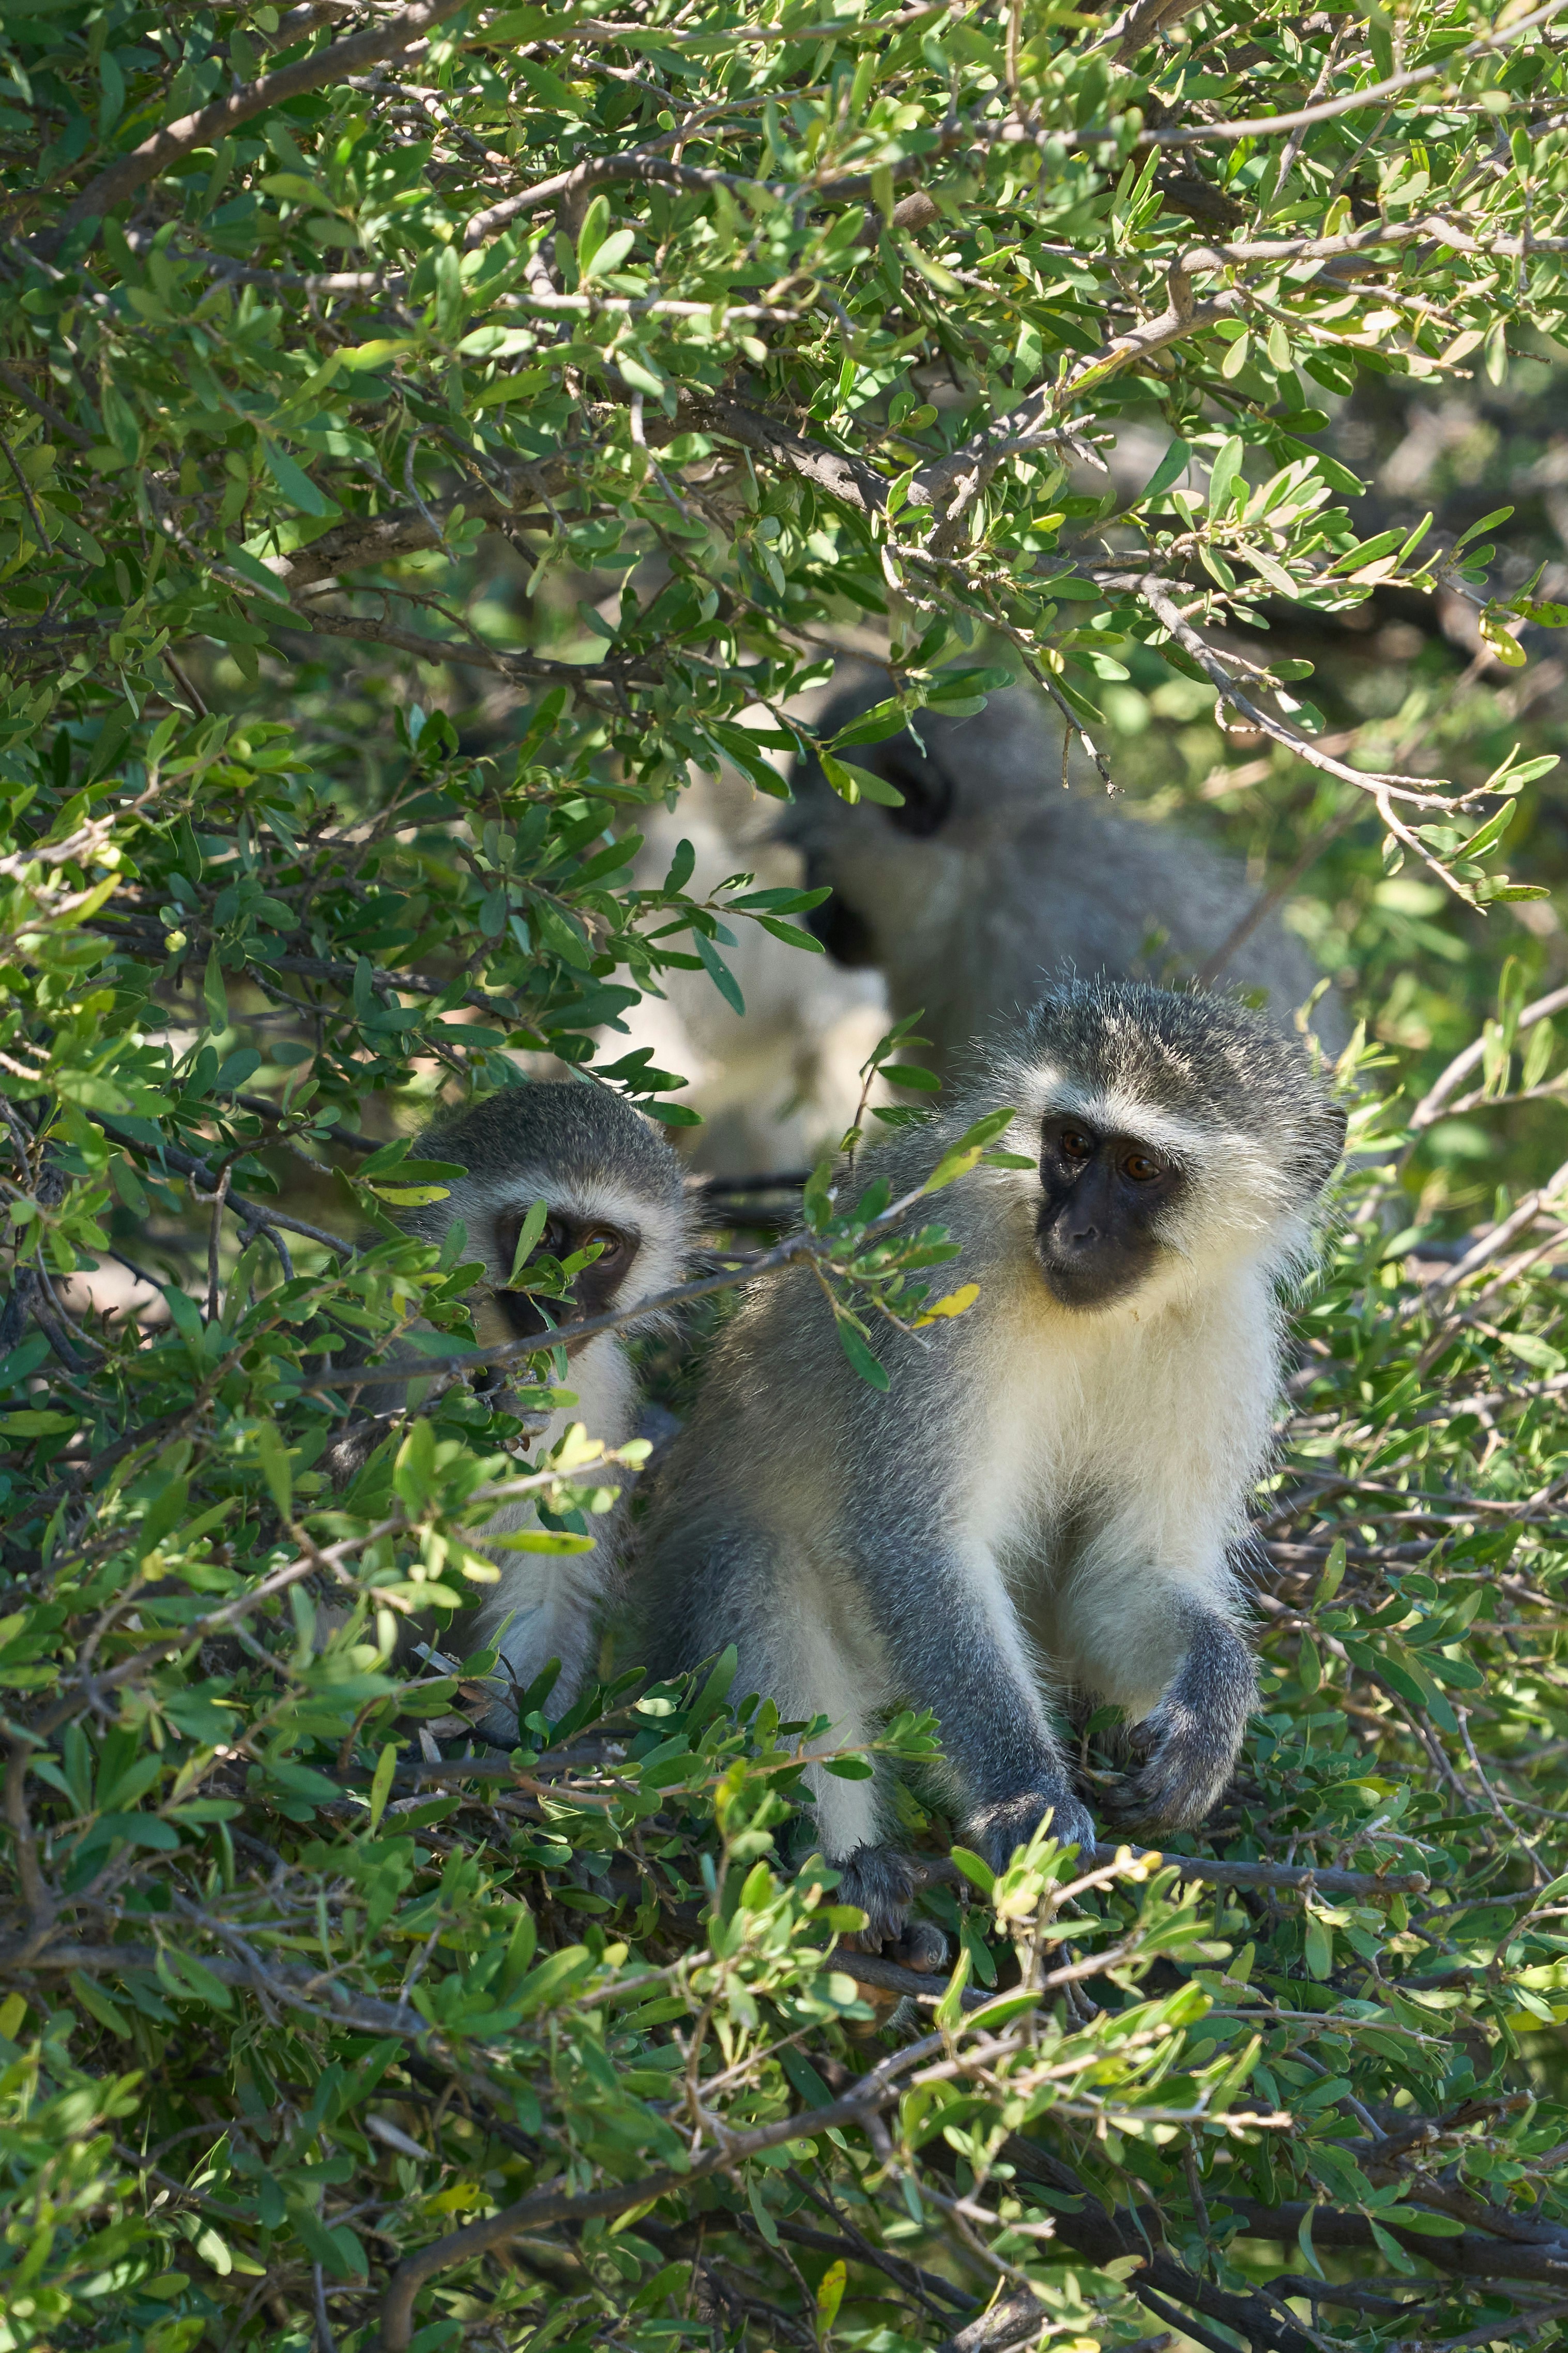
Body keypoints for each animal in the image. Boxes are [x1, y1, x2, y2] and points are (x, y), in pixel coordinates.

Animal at [380, 1081, 692, 1741]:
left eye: (602, 1247)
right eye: (541, 1235)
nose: (561, 1301)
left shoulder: (601, 1404)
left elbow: (552, 1588)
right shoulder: (402, 1334)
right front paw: (485, 1415)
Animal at [635, 980, 1346, 1949]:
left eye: (1138, 1169)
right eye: (1072, 1145)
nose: (1075, 1233)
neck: (1103, 1315)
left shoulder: (1223, 1333)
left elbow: (1117, 1579)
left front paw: (1214, 1703)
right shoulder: (942, 1275)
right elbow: (915, 1545)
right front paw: (1026, 1801)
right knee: (752, 1570)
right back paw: (845, 1879)